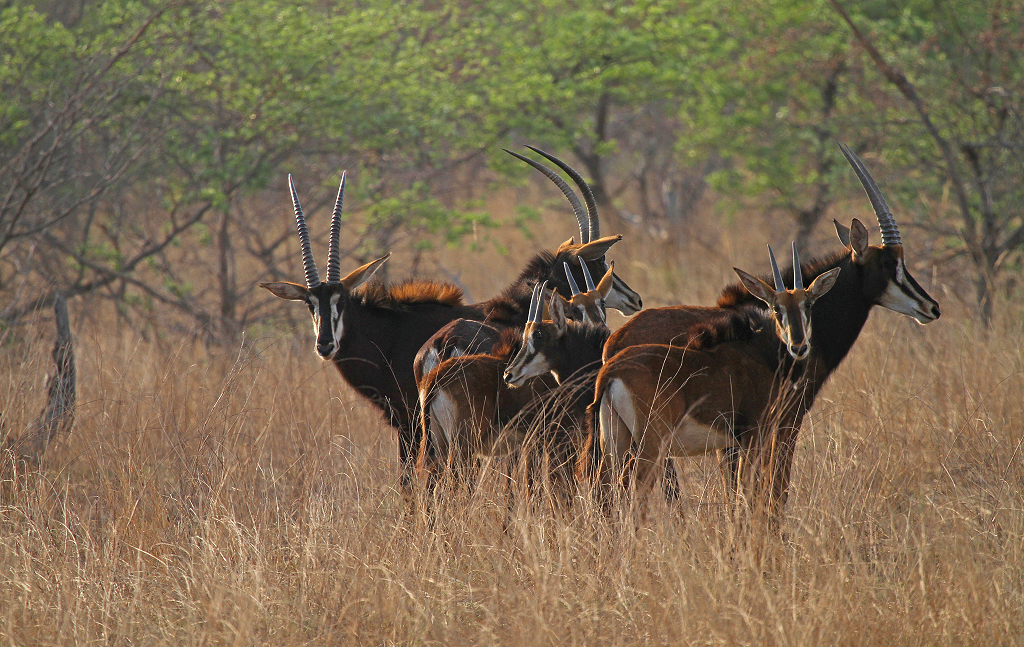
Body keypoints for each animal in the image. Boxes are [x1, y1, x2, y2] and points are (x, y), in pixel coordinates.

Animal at [585, 243, 839, 524]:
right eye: (776, 308)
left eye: (808, 305)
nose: (799, 346)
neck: (759, 352)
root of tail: (611, 371)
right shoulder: (753, 434)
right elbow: (749, 492)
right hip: (650, 443)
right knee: (636, 495)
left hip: (615, 440)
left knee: (604, 489)